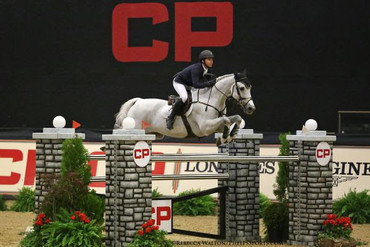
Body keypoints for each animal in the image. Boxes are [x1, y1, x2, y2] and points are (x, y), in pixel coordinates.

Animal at [114, 72, 256, 145]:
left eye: (250, 87)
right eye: (242, 88)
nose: (251, 108)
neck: (211, 100)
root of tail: (138, 101)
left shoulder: (216, 125)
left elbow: (235, 118)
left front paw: (229, 135)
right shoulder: (205, 127)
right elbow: (226, 120)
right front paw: (226, 137)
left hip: (152, 133)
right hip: (135, 128)